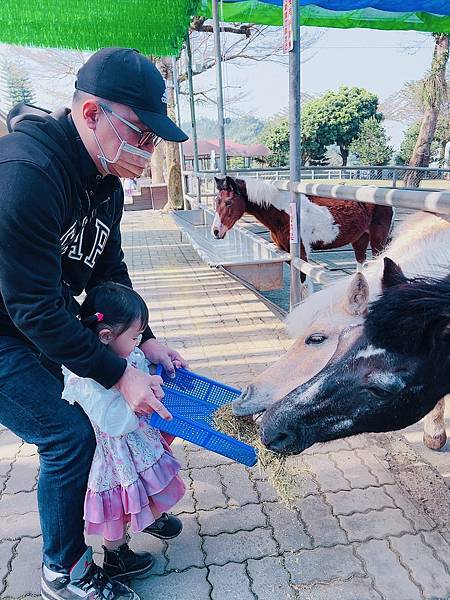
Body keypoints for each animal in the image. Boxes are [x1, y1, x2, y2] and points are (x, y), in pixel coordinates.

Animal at [213, 176, 392, 264]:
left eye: (228, 202)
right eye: (216, 200)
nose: (215, 231)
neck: (285, 213)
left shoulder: (302, 254)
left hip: (378, 243)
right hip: (360, 240)